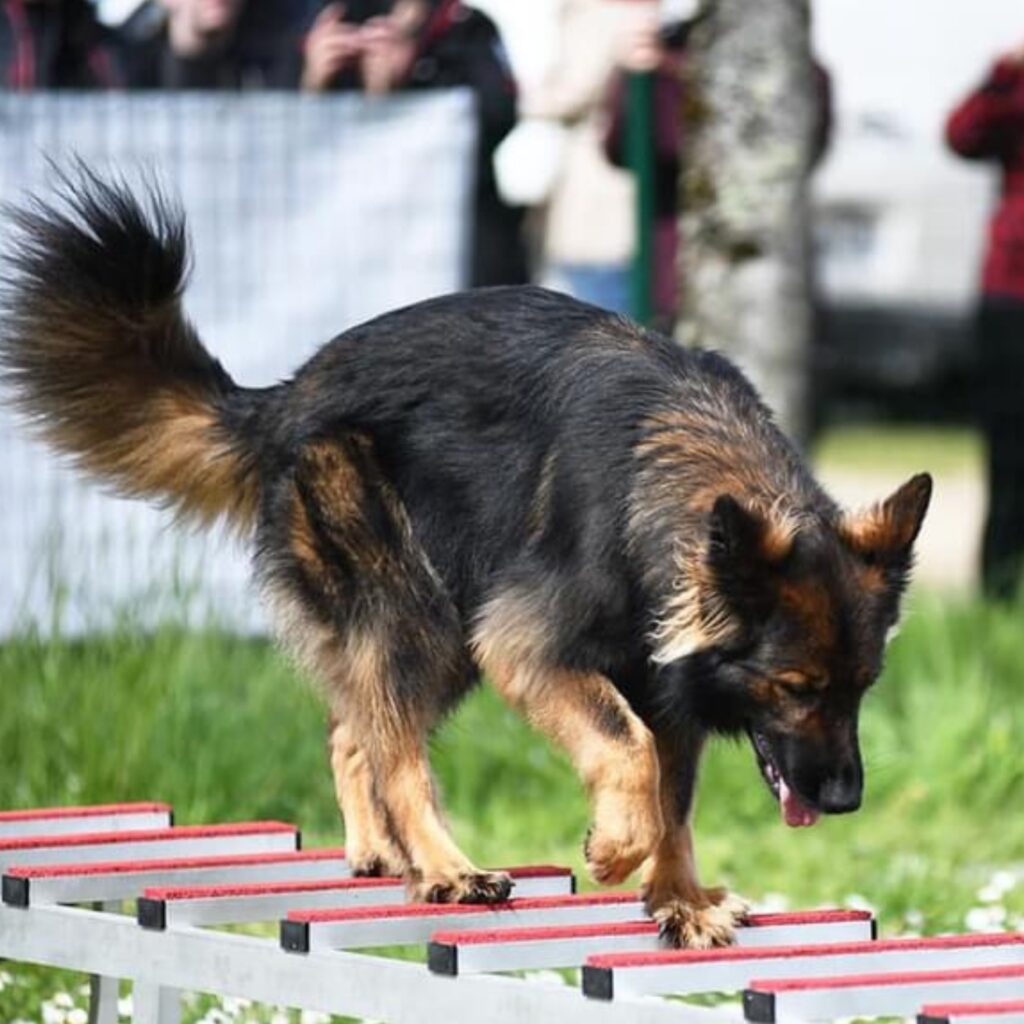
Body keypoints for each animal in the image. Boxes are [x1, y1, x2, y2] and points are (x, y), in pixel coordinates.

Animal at [0, 180, 929, 946]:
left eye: (862, 687)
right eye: (796, 688)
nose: (844, 799)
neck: (678, 472)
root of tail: (285, 397)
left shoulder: (668, 683)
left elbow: (673, 794)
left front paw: (680, 900)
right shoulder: (529, 645)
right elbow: (628, 751)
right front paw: (615, 850)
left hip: (446, 637)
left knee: (359, 733)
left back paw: (385, 853)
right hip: (425, 612)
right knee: (396, 748)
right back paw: (447, 869)